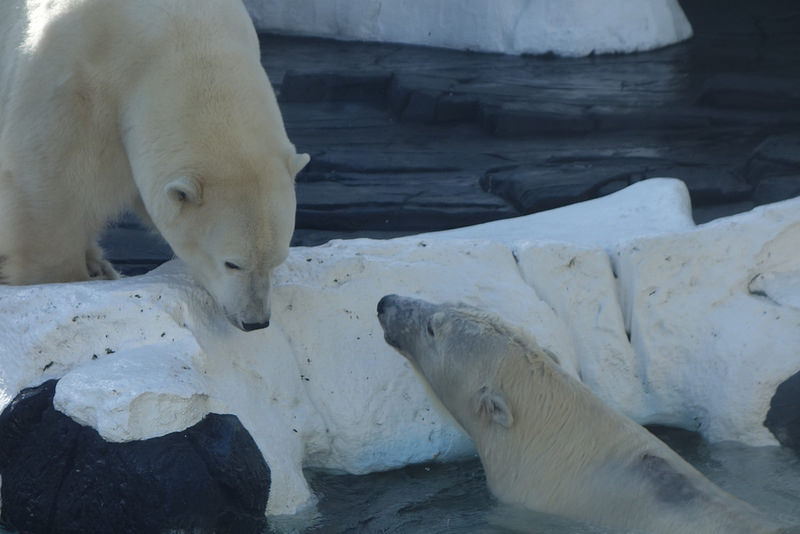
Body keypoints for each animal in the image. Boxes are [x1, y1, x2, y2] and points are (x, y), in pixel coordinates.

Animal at [0, 0, 310, 330]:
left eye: (277, 260)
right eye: (232, 263)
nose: (255, 322)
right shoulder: (70, 78)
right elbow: (50, 191)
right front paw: (62, 280)